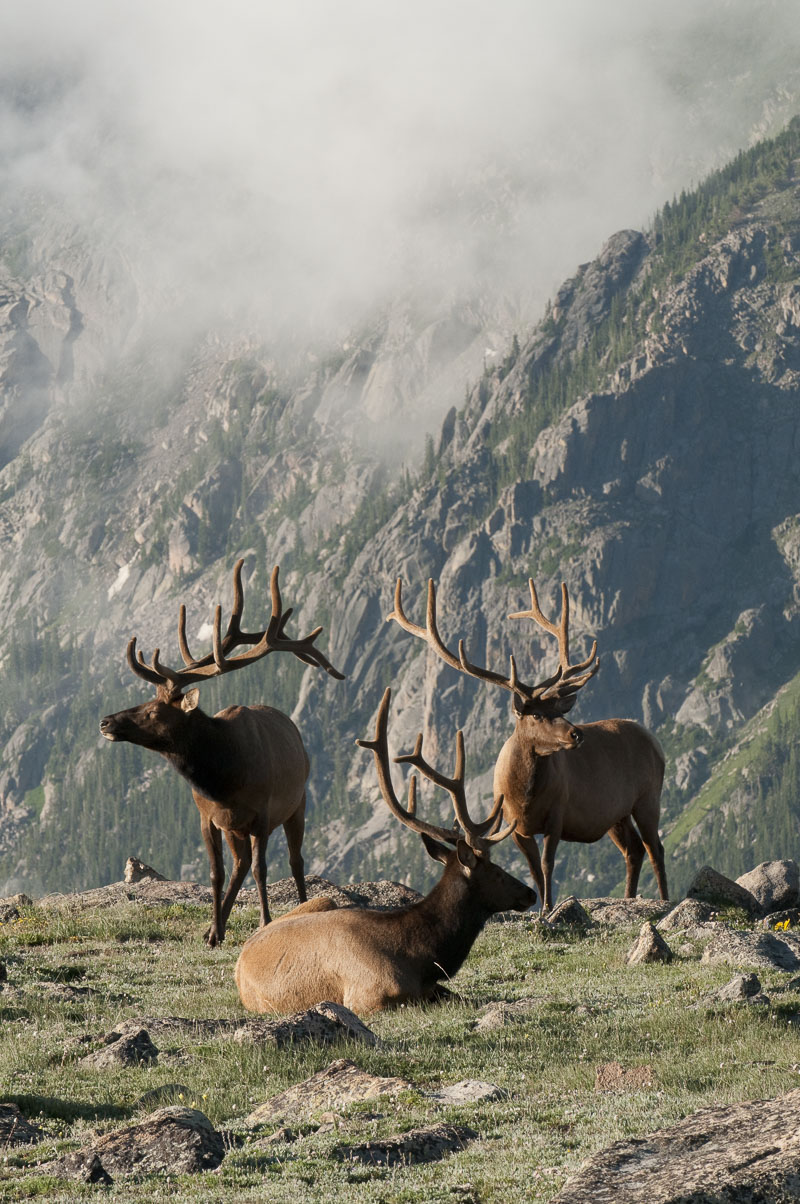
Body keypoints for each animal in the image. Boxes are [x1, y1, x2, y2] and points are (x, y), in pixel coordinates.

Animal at [98, 558, 342, 943]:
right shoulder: (208, 818)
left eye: (153, 711)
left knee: (295, 860)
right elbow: (217, 872)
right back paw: (218, 925)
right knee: (240, 864)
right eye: (146, 700)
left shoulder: (262, 814)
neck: (224, 779)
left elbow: (262, 869)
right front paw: (214, 931)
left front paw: (265, 922)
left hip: (297, 803)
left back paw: (303, 907)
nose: (106, 722)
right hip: (235, 827)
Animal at [234, 688, 534, 1016]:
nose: (530, 892)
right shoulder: (366, 996)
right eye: (496, 871)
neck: (420, 958)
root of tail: (240, 960)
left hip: (323, 899)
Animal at [387, 577, 669, 905]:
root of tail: (654, 740)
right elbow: (535, 870)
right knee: (633, 850)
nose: (576, 734)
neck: (524, 796)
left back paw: (664, 898)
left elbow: (547, 865)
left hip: (648, 796)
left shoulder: (557, 813)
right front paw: (543, 907)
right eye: (536, 715)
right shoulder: (517, 828)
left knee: (655, 848)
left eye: (557, 710)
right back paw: (628, 896)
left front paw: (548, 907)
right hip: (616, 814)